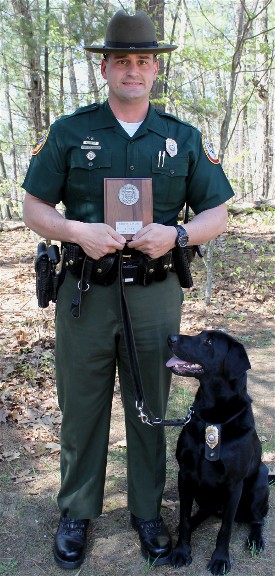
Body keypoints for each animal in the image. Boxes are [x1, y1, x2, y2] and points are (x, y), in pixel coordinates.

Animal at [167, 328, 270, 576]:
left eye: (209, 341)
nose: (170, 338)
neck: (213, 417)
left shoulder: (234, 484)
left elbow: (225, 529)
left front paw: (220, 559)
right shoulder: (185, 474)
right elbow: (184, 516)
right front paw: (181, 551)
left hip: (261, 480)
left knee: (257, 520)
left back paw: (256, 540)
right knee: (200, 513)